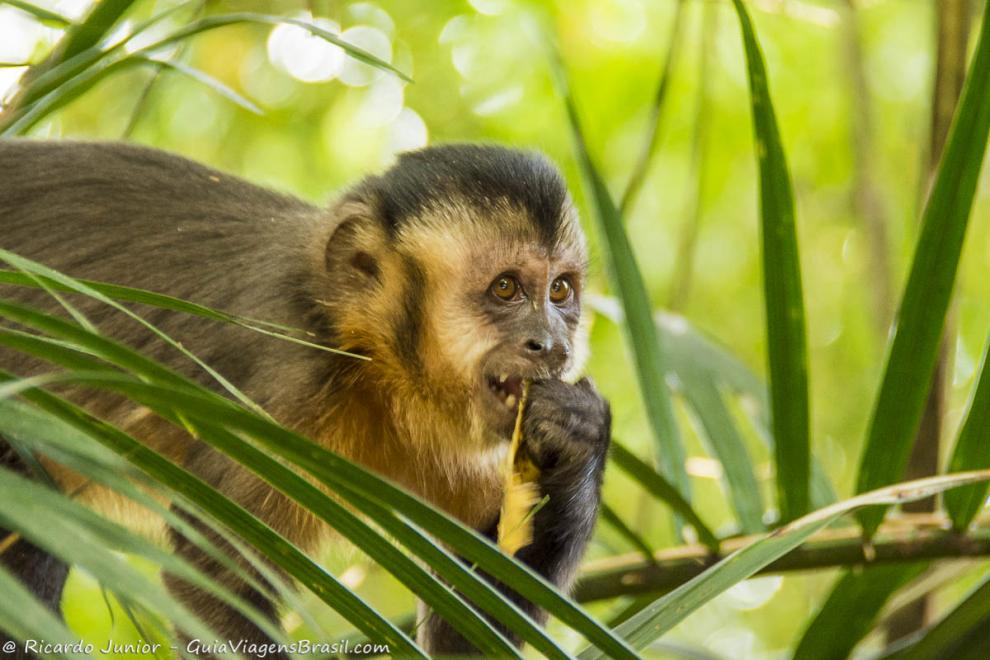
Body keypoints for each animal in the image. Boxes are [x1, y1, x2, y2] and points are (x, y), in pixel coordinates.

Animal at [0, 139, 612, 656]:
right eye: (506, 288)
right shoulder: (289, 378)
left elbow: (468, 625)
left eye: (560, 291)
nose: (552, 344)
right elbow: (217, 580)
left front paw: (578, 432)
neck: (374, 364)